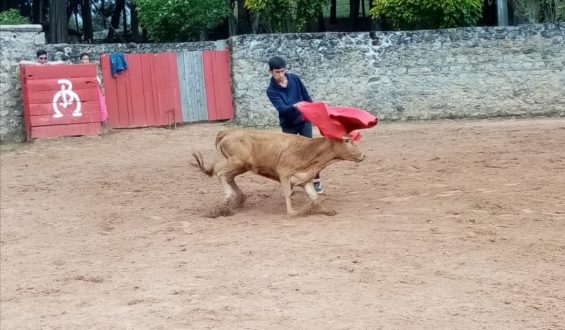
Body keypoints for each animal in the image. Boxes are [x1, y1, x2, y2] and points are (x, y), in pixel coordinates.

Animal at [192, 129, 364, 217]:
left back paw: (239, 199)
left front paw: (323, 210)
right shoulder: (284, 173)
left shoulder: (305, 179)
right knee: (220, 172)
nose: (362, 155)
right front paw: (292, 211)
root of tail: (226, 133)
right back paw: (227, 199)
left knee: (229, 176)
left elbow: (314, 196)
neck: (308, 150)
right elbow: (288, 192)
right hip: (237, 161)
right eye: (347, 140)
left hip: (241, 165)